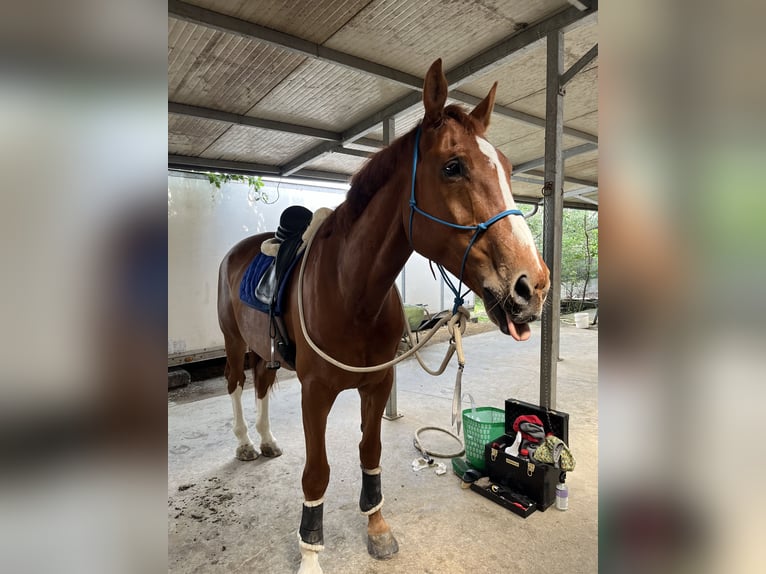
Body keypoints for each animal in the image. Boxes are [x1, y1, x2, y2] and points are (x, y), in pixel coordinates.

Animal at [217, 58, 550, 574]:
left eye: (510, 169)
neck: (350, 291)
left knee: (262, 386)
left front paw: (376, 526)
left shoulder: (377, 385)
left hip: (264, 350)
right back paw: (245, 444)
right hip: (235, 344)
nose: (531, 286)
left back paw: (267, 440)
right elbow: (317, 473)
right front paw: (310, 551)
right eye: (452, 166)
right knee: (235, 384)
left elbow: (369, 451)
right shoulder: (315, 393)